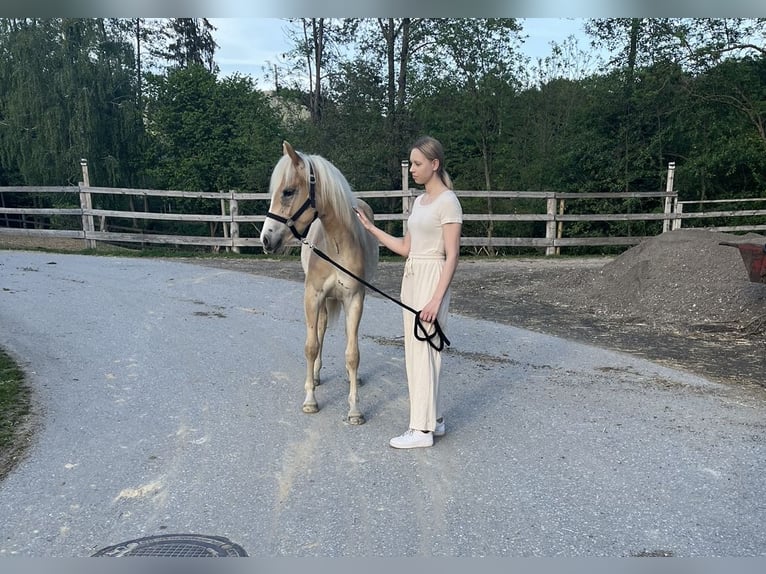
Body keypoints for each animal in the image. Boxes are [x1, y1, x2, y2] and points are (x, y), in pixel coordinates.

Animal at [260, 142, 380, 426]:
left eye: (288, 192)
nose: (265, 239)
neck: (335, 244)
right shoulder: (312, 296)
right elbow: (311, 346)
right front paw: (310, 400)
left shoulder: (354, 298)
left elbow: (352, 353)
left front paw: (354, 409)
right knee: (321, 329)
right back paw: (314, 375)